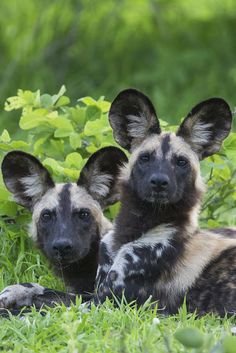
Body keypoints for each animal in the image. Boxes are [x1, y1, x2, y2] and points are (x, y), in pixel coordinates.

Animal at [0, 146, 127, 308]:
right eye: (46, 216)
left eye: (84, 214)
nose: (62, 246)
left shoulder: (105, 300)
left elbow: (46, 292)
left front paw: (16, 291)